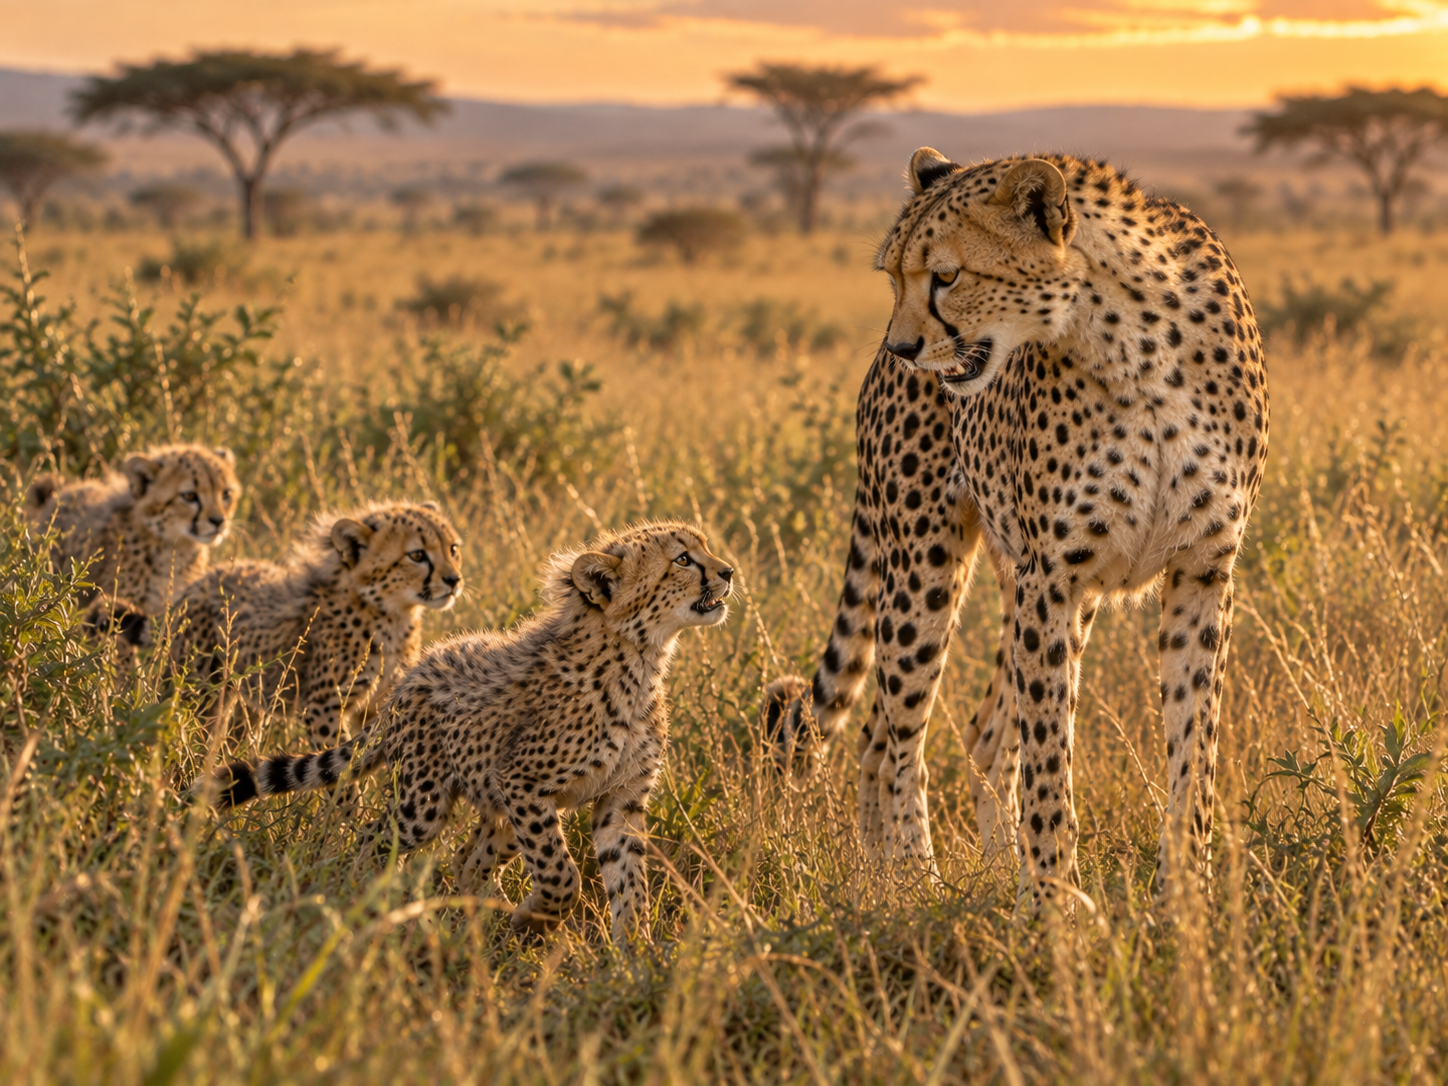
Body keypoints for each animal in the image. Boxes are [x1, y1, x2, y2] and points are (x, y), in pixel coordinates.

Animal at [153, 501, 463, 748]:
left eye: (453, 549)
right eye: (417, 555)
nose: (454, 580)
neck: (393, 614)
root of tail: (200, 580)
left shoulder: (379, 705)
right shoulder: (323, 707)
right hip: (198, 691)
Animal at [206, 520, 734, 943]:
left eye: (704, 548)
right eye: (683, 559)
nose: (728, 571)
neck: (640, 658)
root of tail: (413, 673)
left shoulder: (618, 800)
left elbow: (629, 885)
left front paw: (634, 958)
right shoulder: (522, 782)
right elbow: (562, 876)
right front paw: (535, 922)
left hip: (497, 807)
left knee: (467, 860)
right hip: (425, 801)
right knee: (376, 837)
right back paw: (361, 899)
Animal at [765, 149, 1269, 907]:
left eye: (947, 276)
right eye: (892, 275)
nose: (904, 346)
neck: (1135, 343)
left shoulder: (1201, 570)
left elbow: (1193, 743)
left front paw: (1184, 894)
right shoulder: (1053, 576)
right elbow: (1049, 757)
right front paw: (1054, 899)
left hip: (1032, 586)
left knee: (966, 734)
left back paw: (956, 869)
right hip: (925, 565)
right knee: (896, 735)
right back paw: (913, 878)